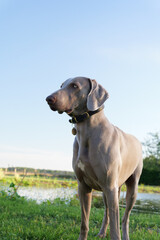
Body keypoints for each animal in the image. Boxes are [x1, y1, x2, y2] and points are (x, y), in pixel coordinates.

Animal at [46, 77, 142, 240]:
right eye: (61, 85)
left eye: (74, 86)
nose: (48, 99)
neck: (86, 130)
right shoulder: (83, 186)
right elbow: (84, 222)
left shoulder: (110, 185)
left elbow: (115, 228)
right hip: (107, 190)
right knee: (108, 212)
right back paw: (102, 233)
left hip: (131, 187)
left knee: (125, 217)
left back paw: (125, 235)